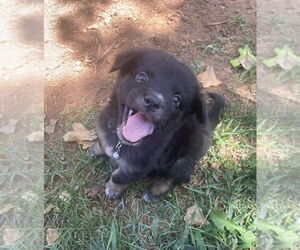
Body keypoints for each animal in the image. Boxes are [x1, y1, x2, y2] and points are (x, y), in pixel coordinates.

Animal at [91, 47, 225, 202]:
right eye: (141, 77)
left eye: (176, 100)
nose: (154, 101)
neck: (121, 142)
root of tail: (207, 126)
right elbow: (102, 142)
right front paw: (97, 148)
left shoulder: (139, 167)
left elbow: (119, 177)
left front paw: (113, 190)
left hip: (185, 158)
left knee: (179, 177)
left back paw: (157, 190)